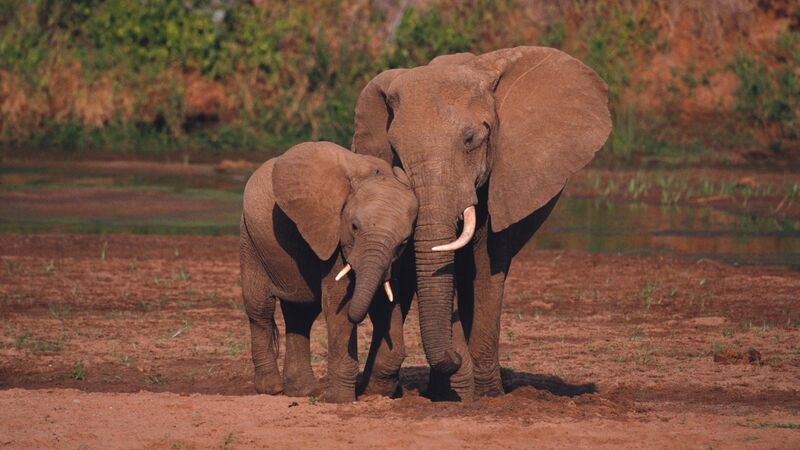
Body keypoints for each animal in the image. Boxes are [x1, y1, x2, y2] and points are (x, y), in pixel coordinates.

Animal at [240, 141, 418, 403]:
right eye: (354, 227)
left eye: (404, 242)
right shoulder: (332, 235)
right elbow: (338, 303)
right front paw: (339, 400)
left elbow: (386, 302)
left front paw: (377, 393)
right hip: (251, 240)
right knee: (260, 308)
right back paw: (272, 389)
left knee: (300, 314)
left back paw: (303, 392)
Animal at [351, 46, 611, 400]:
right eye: (395, 151)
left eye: (470, 140)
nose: (455, 357)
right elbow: (411, 267)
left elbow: (488, 264)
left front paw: (483, 395)